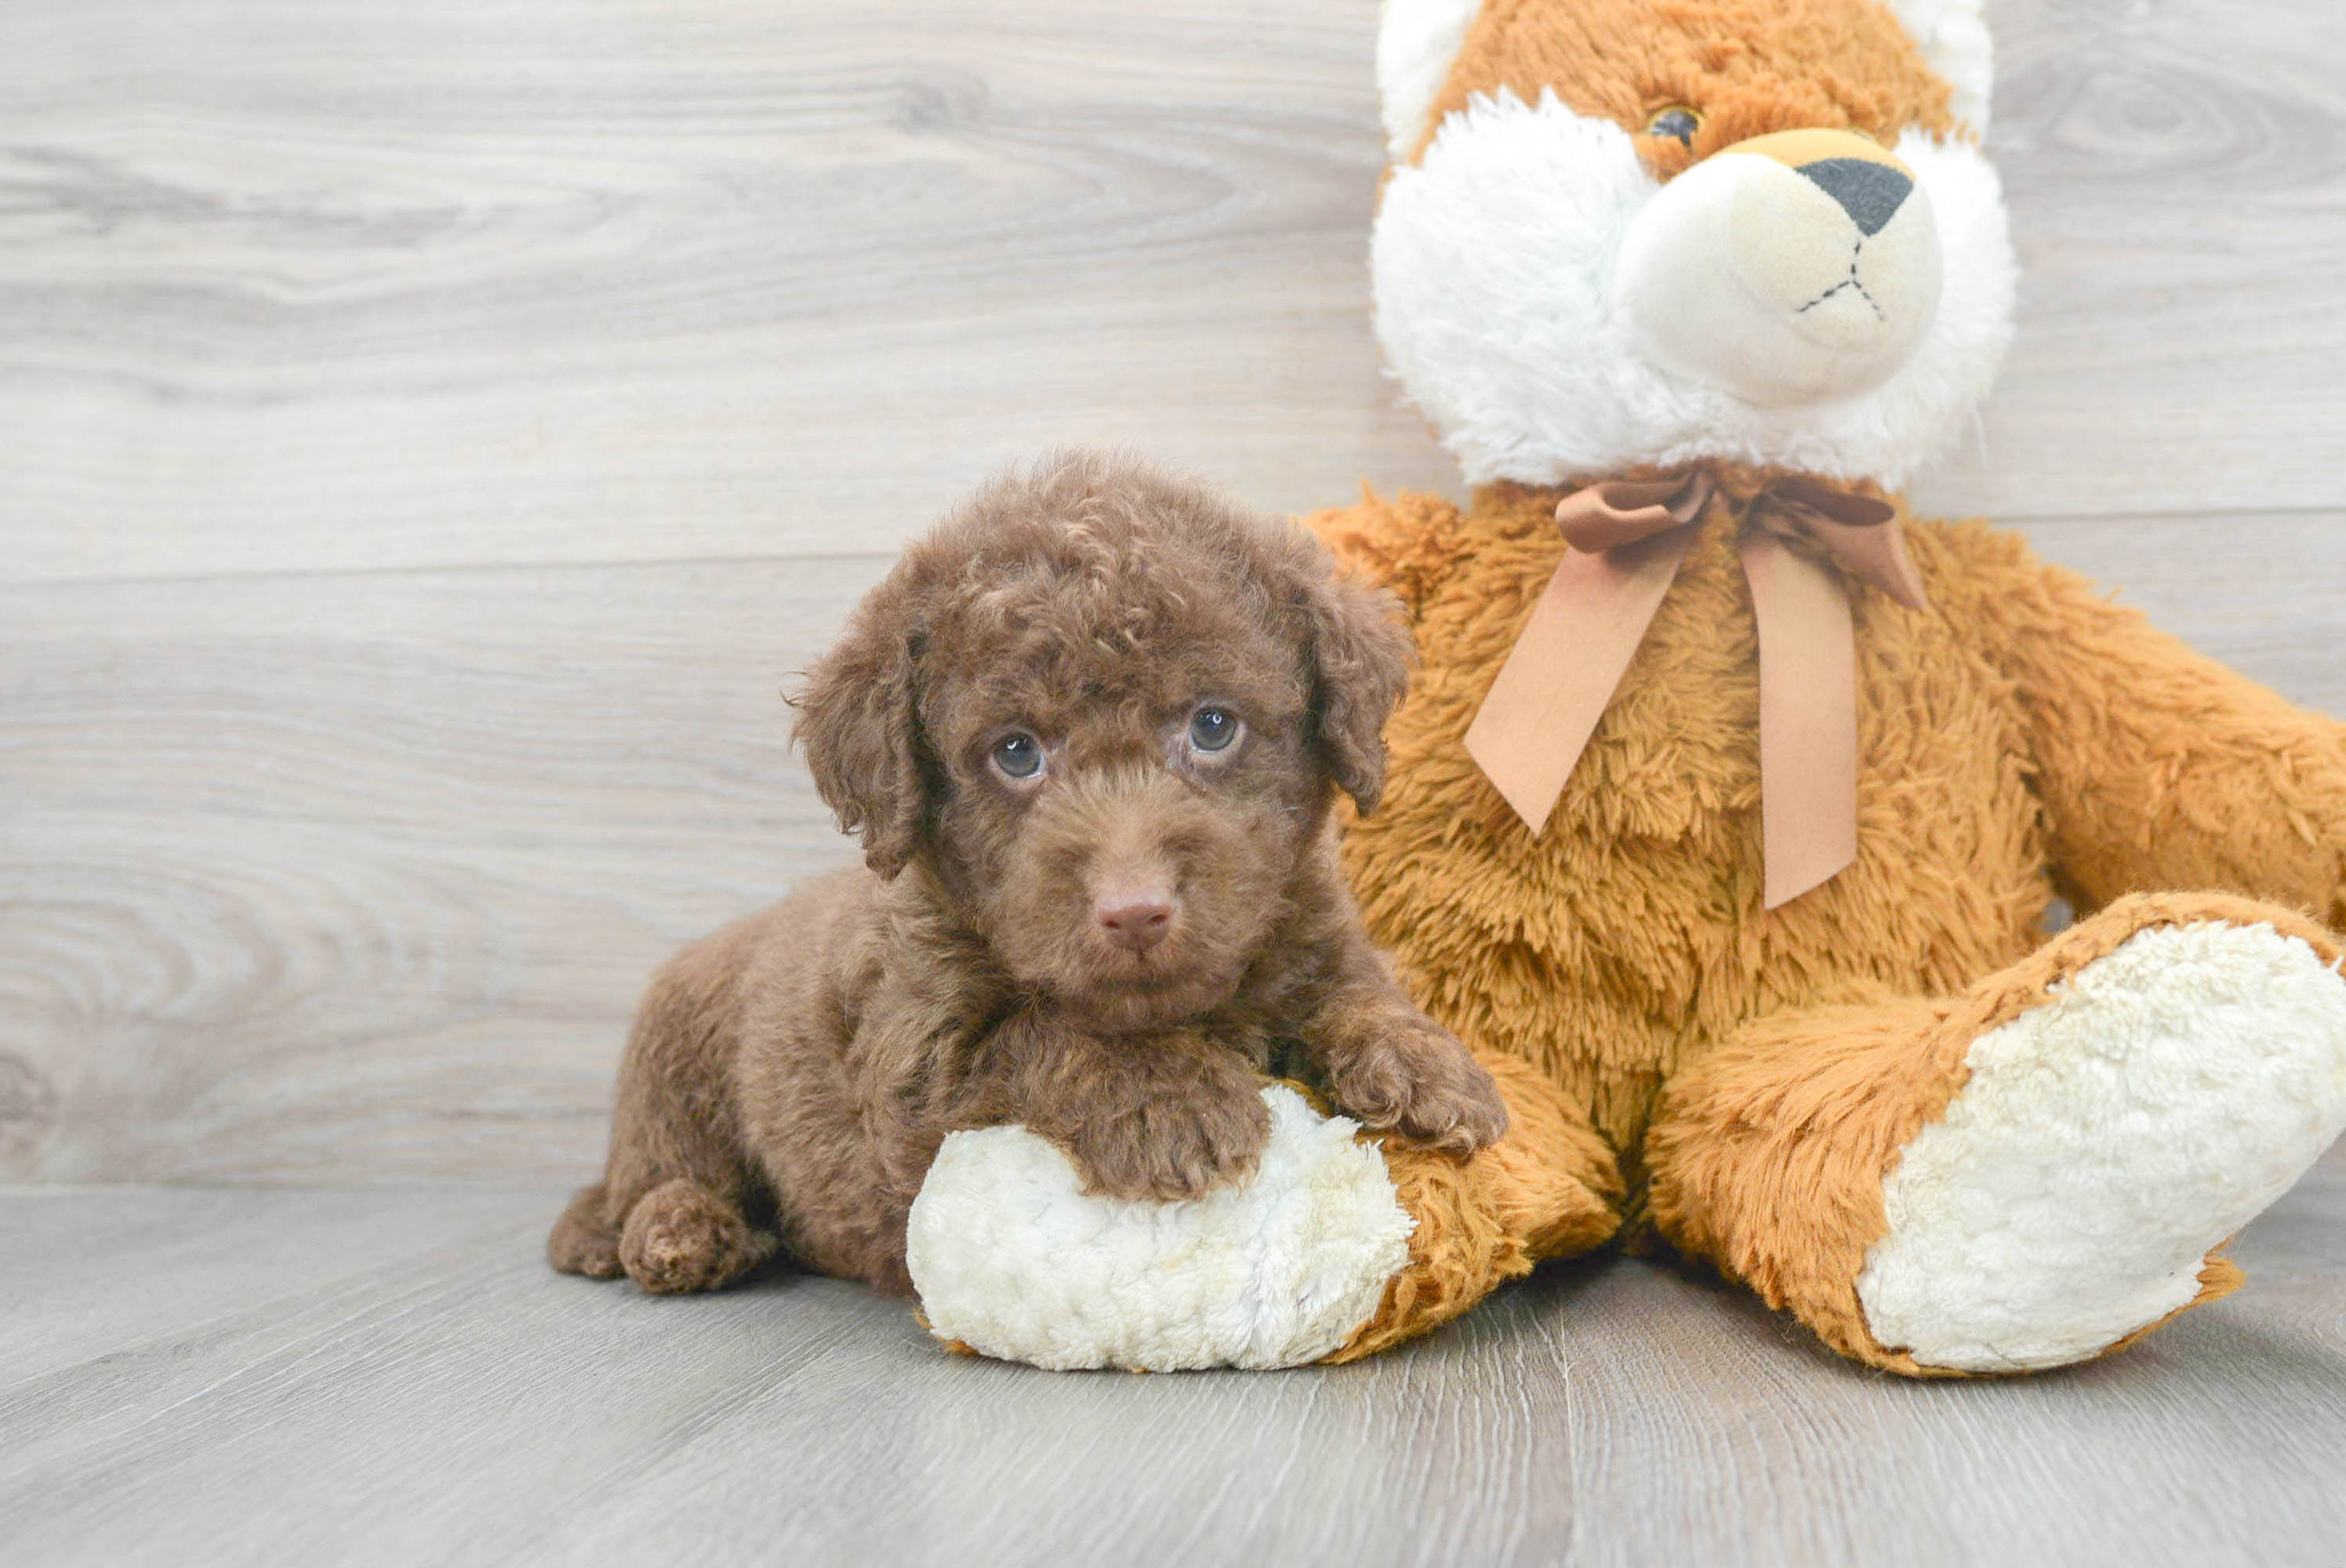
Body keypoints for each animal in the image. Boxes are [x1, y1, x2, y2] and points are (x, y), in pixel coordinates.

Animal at [547, 445, 1501, 1295]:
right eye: (1016, 752)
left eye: (1213, 725)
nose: (1134, 911)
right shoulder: (916, 1063)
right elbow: (1042, 1036)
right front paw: (1170, 1099)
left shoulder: (1311, 932)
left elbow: (1355, 988)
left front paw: (1429, 1061)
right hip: (673, 1067)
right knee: (657, 1165)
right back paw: (664, 1231)